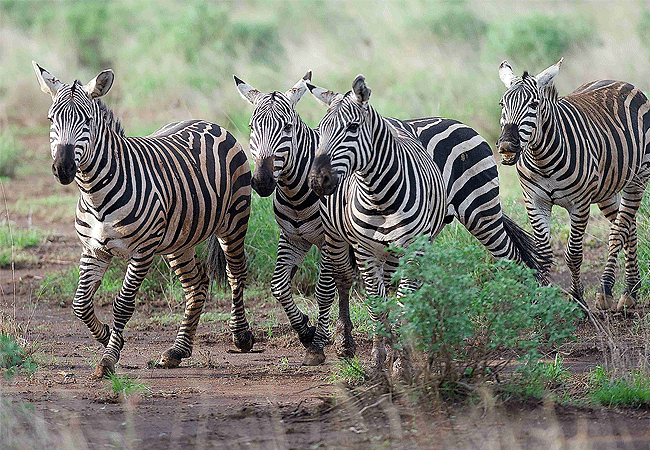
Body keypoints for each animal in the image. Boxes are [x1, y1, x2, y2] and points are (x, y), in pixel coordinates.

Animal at [33, 62, 252, 380]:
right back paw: (177, 351)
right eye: (51, 119)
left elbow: (123, 305)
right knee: (196, 283)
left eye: (87, 120)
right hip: (179, 239)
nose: (63, 168)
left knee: (236, 274)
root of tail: (207, 122)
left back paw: (241, 336)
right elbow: (80, 304)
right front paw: (106, 336)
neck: (95, 193)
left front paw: (108, 359)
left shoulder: (142, 251)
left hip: (234, 221)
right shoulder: (93, 250)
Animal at [233, 71, 354, 366]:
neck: (295, 194)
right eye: (251, 127)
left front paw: (317, 345)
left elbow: (324, 291)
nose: (262, 182)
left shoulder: (327, 240)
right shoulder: (292, 238)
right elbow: (278, 286)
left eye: (287, 128)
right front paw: (306, 331)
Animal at [306, 74, 448, 370]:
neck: (379, 196)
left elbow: (402, 304)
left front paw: (401, 362)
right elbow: (376, 305)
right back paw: (345, 343)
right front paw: (379, 359)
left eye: (352, 127)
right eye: (320, 130)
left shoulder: (410, 250)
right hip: (335, 238)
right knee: (343, 280)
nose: (317, 181)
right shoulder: (365, 251)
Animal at [496, 59, 648, 312]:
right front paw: (540, 300)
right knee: (628, 226)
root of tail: (619, 82)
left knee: (618, 231)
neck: (542, 160)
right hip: (607, 190)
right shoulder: (534, 201)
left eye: (534, 104)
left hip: (638, 177)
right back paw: (632, 290)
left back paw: (610, 291)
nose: (507, 146)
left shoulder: (580, 203)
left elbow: (573, 254)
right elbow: (543, 254)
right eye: (502, 104)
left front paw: (577, 299)